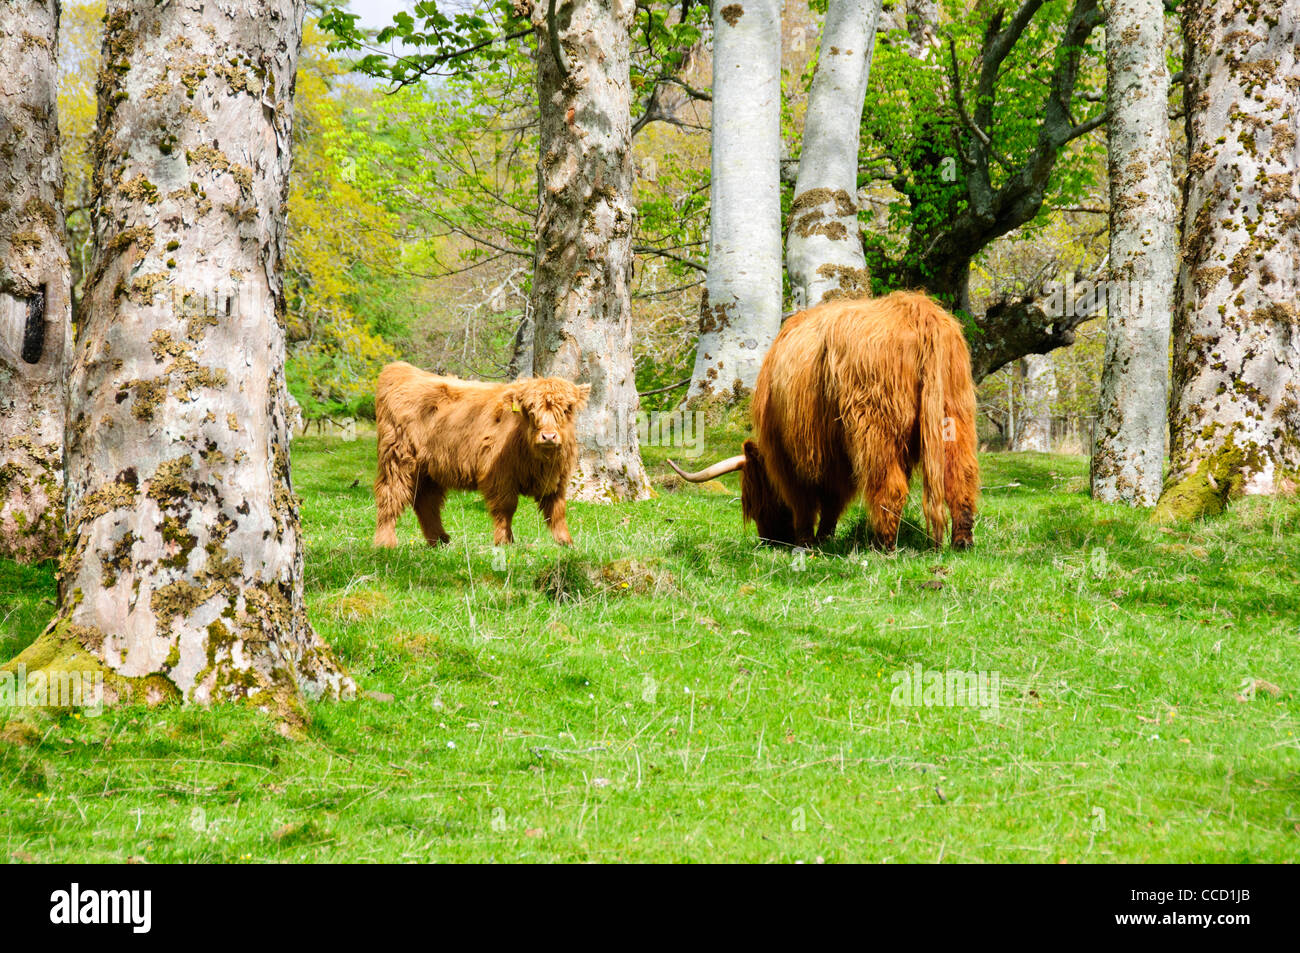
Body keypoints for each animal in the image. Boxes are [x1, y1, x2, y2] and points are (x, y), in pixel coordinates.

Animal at [373, 362, 590, 548]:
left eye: (567, 409)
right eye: (530, 411)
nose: (548, 436)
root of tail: (401, 369)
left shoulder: (558, 479)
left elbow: (557, 511)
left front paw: (566, 542)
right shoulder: (500, 476)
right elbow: (506, 508)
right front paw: (505, 542)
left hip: (428, 470)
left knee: (426, 502)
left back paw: (440, 541)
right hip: (398, 459)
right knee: (390, 496)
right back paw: (386, 542)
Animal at [669, 292, 979, 551]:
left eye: (755, 495)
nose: (770, 539)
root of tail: (917, 309)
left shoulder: (789, 455)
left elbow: (804, 501)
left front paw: (807, 541)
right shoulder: (834, 453)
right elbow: (833, 501)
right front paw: (824, 538)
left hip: (876, 426)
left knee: (890, 487)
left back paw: (883, 546)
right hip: (955, 413)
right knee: (960, 478)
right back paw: (961, 541)